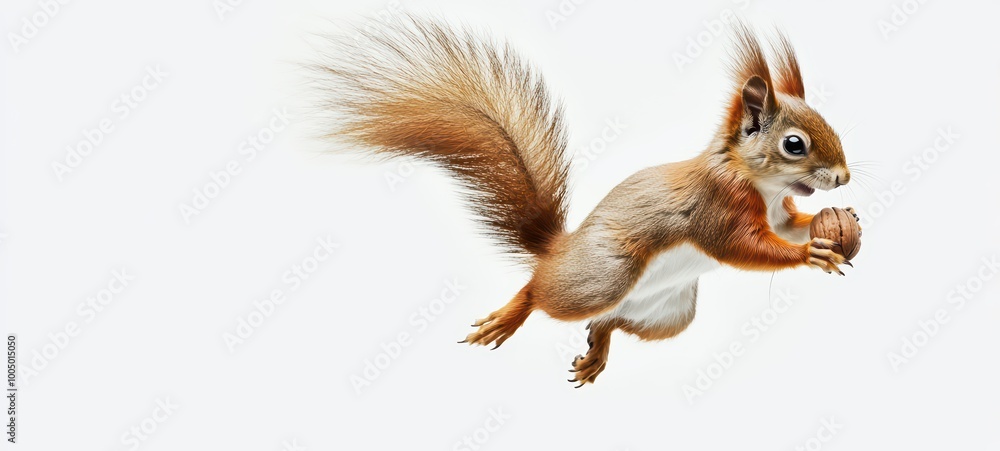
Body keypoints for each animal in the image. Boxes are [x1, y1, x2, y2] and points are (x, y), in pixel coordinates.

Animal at [311, 16, 859, 386]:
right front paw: (811, 252)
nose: (844, 177)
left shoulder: (777, 214)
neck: (762, 186)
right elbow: (742, 247)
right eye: (794, 145)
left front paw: (834, 221)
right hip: (603, 276)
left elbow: (788, 226)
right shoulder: (716, 207)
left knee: (610, 320)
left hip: (670, 314)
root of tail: (558, 249)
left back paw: (598, 349)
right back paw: (511, 315)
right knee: (541, 292)